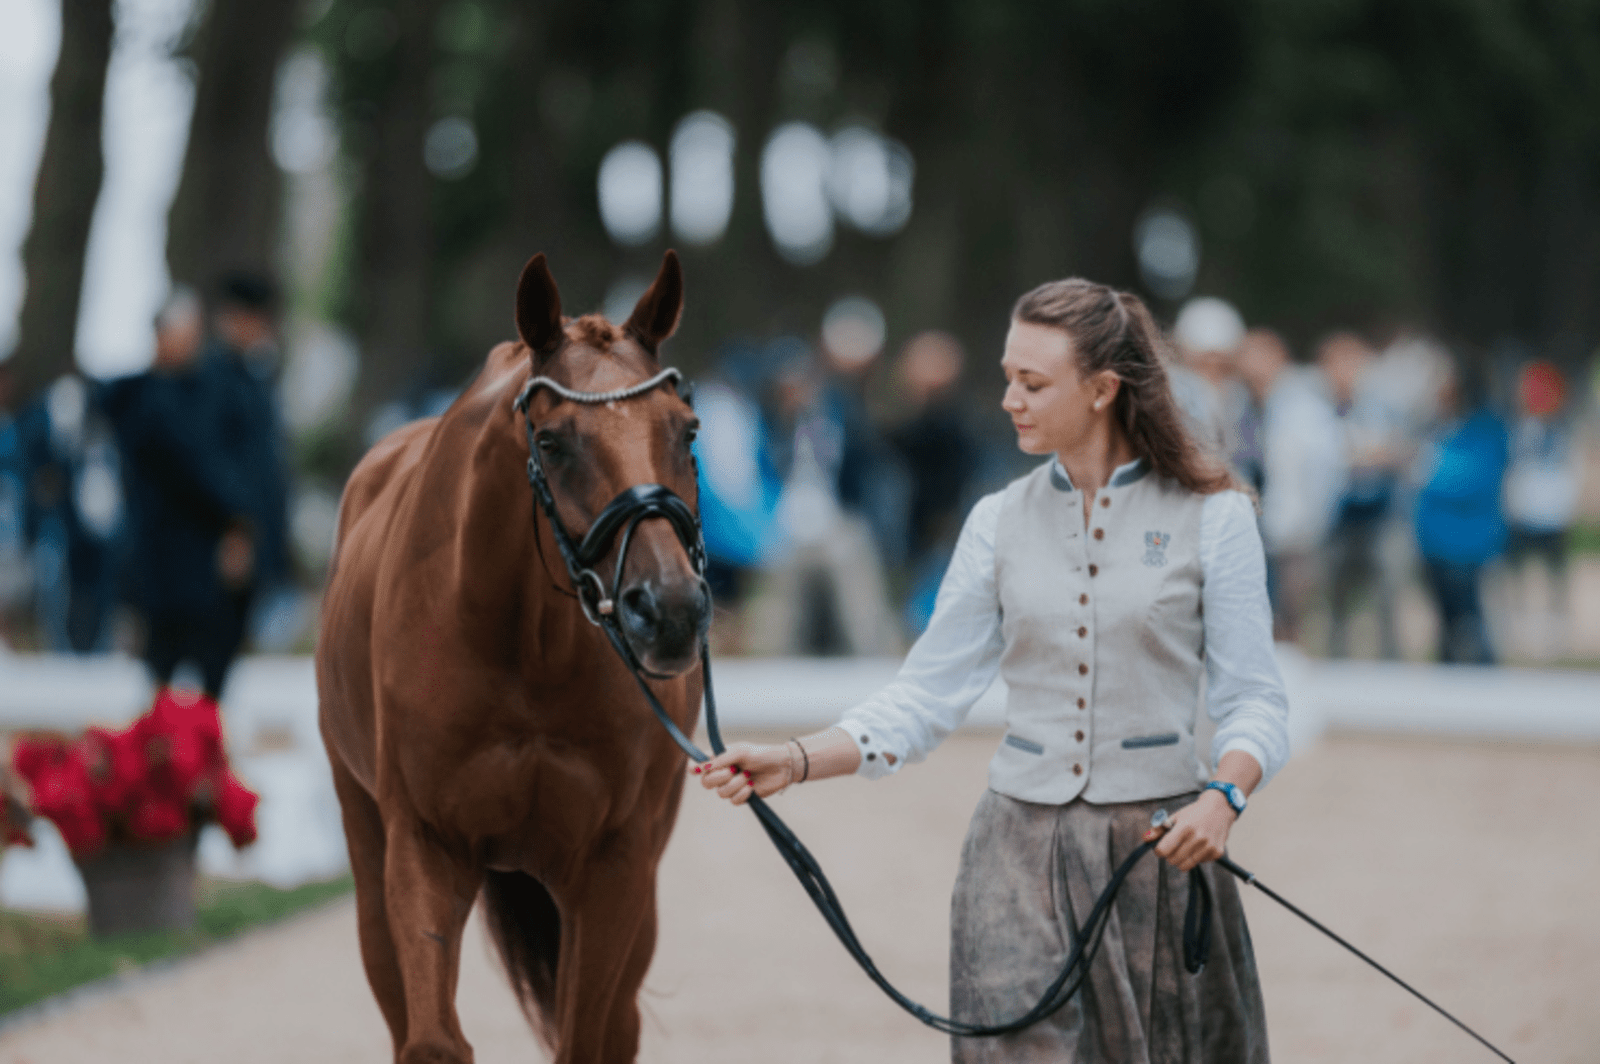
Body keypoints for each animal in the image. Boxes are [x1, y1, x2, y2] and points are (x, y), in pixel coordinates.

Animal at [318, 251, 707, 1062]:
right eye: (552, 441)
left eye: (686, 430)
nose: (670, 611)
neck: (528, 658)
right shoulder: (426, 845)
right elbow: (432, 1041)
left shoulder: (615, 866)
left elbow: (586, 1041)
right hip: (366, 846)